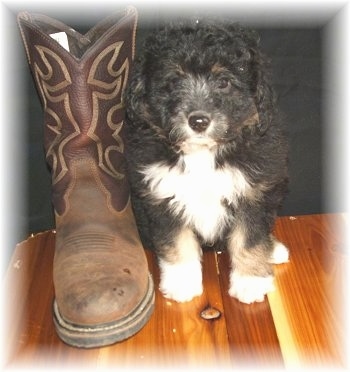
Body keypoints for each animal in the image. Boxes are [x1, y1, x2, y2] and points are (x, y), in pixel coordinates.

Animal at [124, 18, 288, 304]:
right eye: (174, 80)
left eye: (223, 82)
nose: (199, 121)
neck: (202, 154)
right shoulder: (162, 198)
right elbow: (176, 242)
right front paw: (181, 283)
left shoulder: (253, 194)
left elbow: (250, 239)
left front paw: (250, 282)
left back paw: (274, 249)